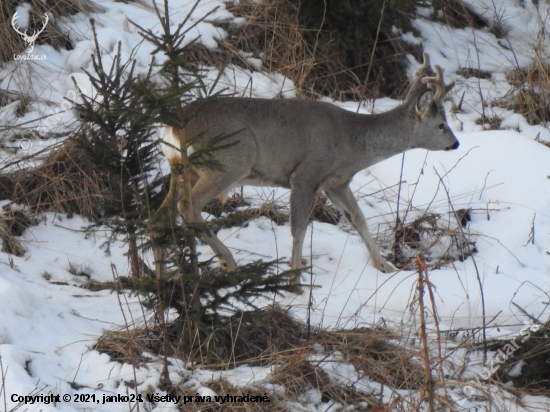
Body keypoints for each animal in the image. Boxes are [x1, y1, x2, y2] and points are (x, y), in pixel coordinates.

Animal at [161, 51, 462, 280]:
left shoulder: (336, 182)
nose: (455, 143)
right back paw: (228, 261)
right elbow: (299, 228)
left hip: (182, 168)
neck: (354, 144)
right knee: (188, 205)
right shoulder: (306, 175)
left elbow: (359, 219)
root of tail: (173, 127)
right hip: (229, 161)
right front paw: (294, 279)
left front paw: (384, 266)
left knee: (165, 209)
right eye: (441, 124)